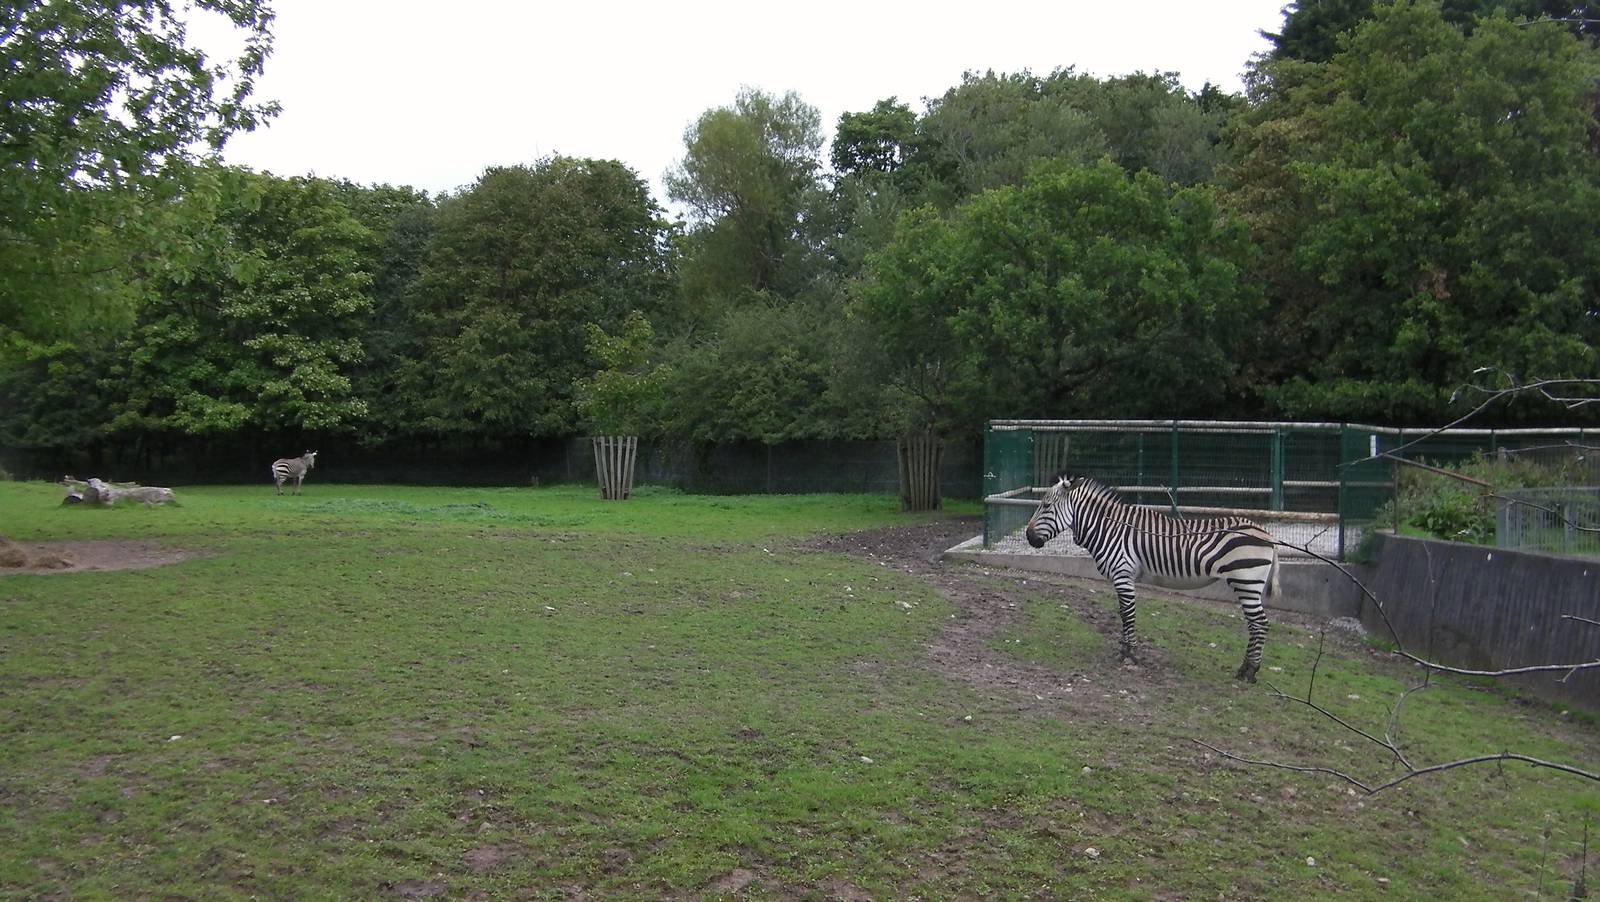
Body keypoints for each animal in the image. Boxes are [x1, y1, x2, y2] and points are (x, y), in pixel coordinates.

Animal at [1024, 476, 1280, 682]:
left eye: (1046, 506)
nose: (1028, 537)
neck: (1110, 528)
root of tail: (1268, 535)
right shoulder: (1122, 578)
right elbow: (1123, 613)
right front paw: (1124, 650)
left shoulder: (1123, 575)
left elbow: (1128, 614)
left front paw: (1130, 654)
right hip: (1248, 586)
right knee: (1255, 624)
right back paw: (1246, 669)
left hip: (1247, 583)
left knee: (1260, 623)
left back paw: (1249, 671)